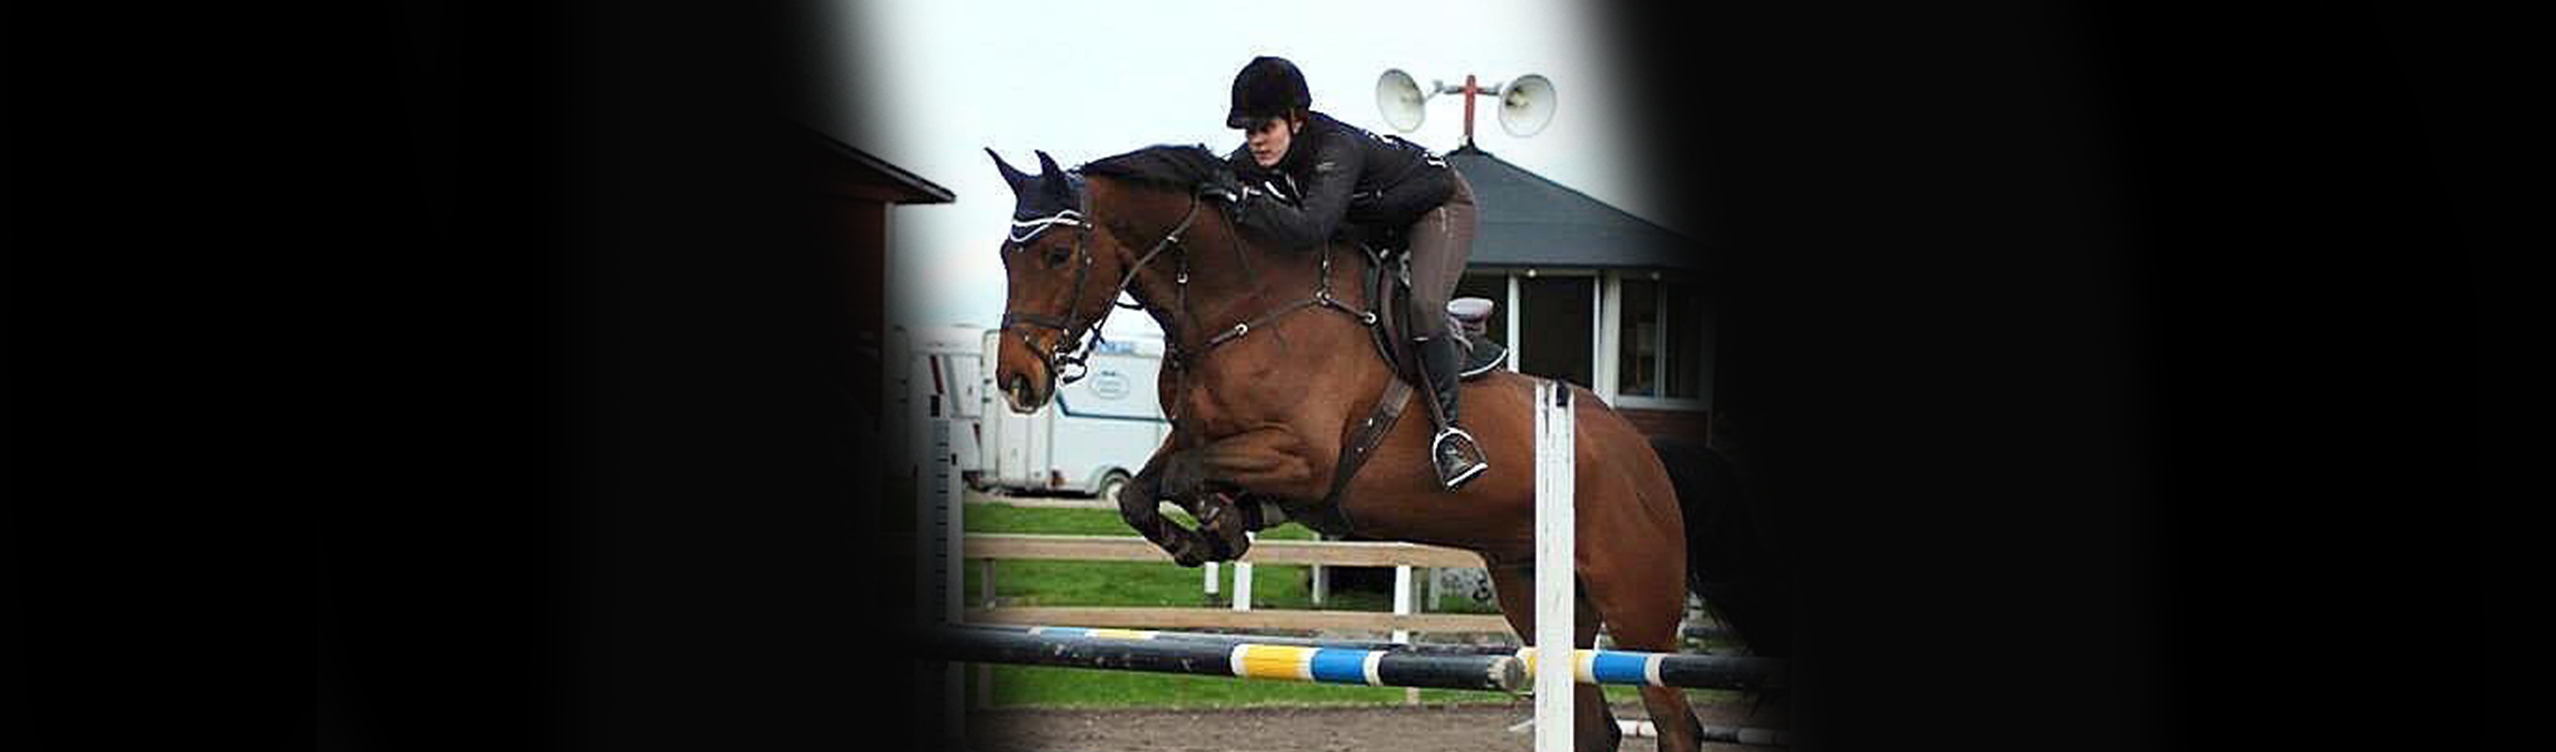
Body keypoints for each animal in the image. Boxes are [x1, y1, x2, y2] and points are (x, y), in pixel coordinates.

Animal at [983, 145, 1785, 752]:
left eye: (1058, 252)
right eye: (1004, 256)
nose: (1018, 380)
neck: (1239, 309)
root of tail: (1643, 452)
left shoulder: (1302, 458)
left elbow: (1184, 474)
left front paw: (1220, 524)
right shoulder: (1201, 436)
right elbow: (1140, 489)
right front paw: (1208, 533)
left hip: (1637, 598)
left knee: (1676, 723)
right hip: (1538, 593)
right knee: (1596, 727)